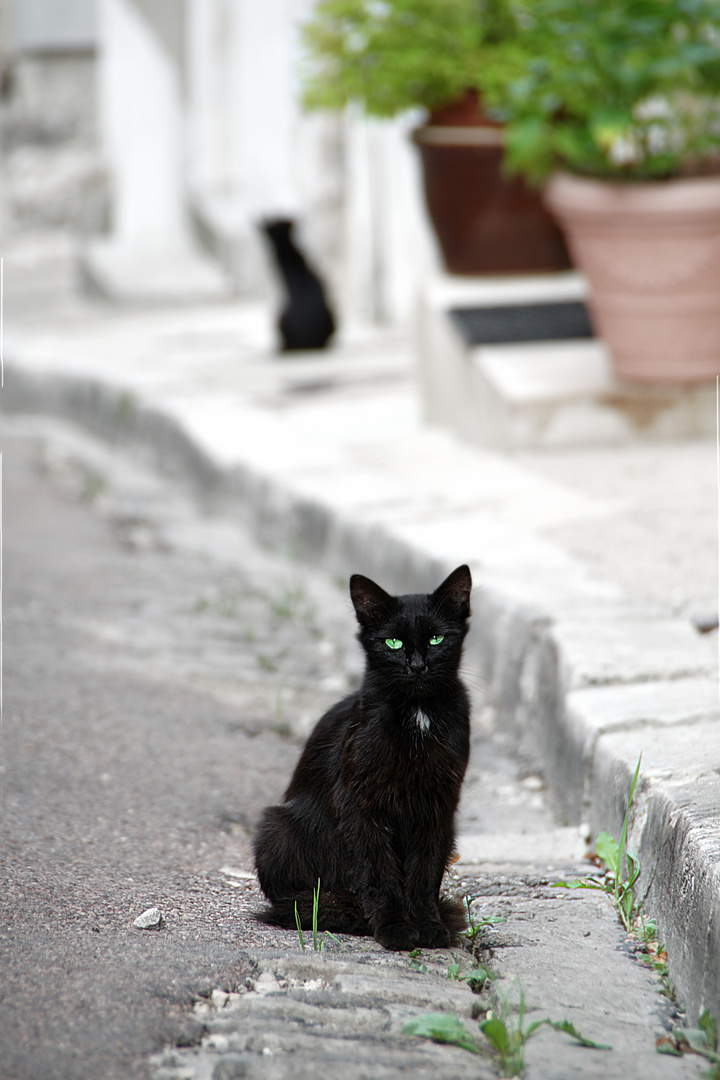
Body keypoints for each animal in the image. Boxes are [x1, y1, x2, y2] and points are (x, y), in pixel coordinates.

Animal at [254, 561, 472, 950]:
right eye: (393, 642)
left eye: (436, 639)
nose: (418, 665)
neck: (417, 714)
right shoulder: (361, 803)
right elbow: (379, 869)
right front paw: (395, 928)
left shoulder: (438, 807)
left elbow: (425, 872)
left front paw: (429, 927)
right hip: (276, 827)